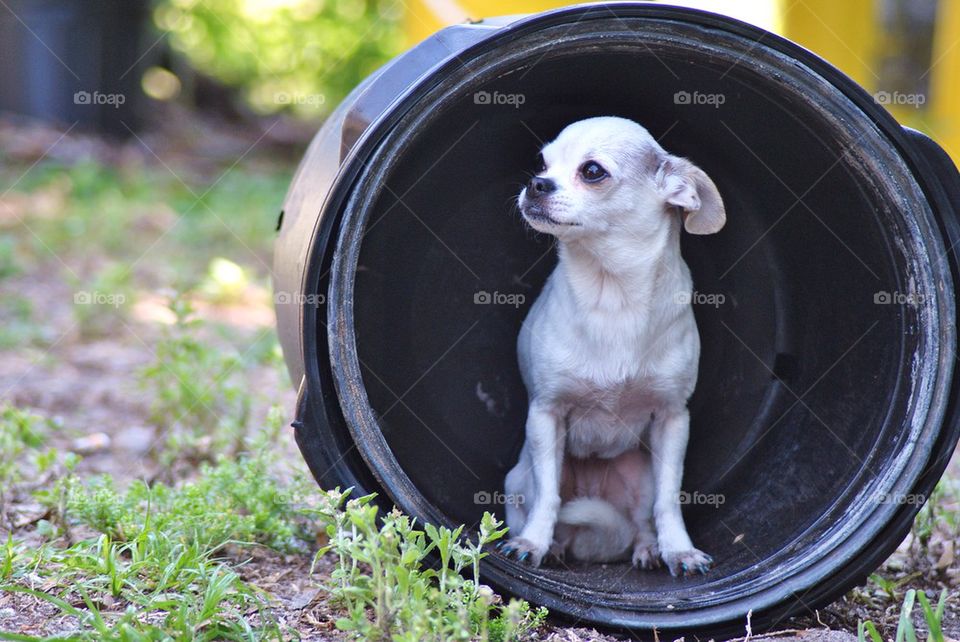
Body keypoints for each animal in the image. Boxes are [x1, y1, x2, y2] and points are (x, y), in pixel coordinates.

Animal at [498, 115, 724, 576]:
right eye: (542, 162)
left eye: (592, 171)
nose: (536, 183)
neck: (612, 292)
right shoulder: (545, 416)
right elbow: (548, 496)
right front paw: (531, 543)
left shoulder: (672, 420)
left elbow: (669, 500)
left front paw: (680, 550)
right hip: (518, 478)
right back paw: (554, 545)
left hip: (640, 474)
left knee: (641, 519)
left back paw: (648, 550)